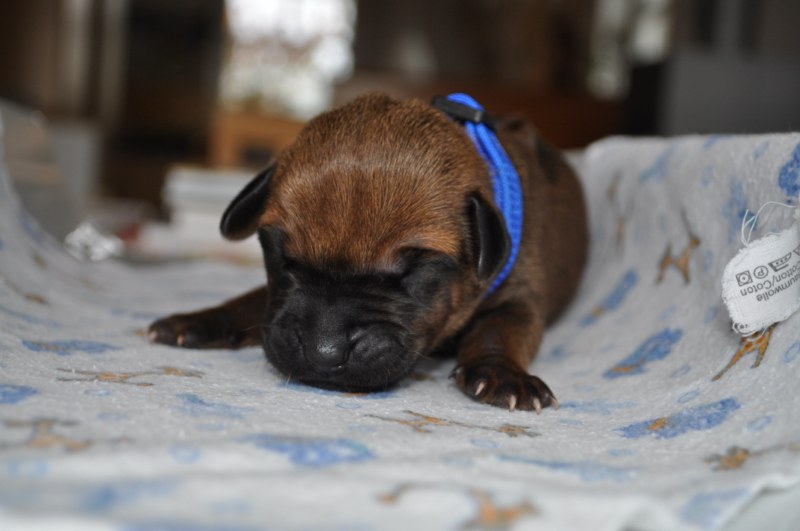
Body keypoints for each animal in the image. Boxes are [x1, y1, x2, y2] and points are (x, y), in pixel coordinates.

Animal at [148, 92, 587, 412]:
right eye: (282, 258)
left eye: (413, 271)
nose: (324, 355)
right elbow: (252, 301)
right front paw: (199, 320)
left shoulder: (520, 296)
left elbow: (501, 329)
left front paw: (503, 373)